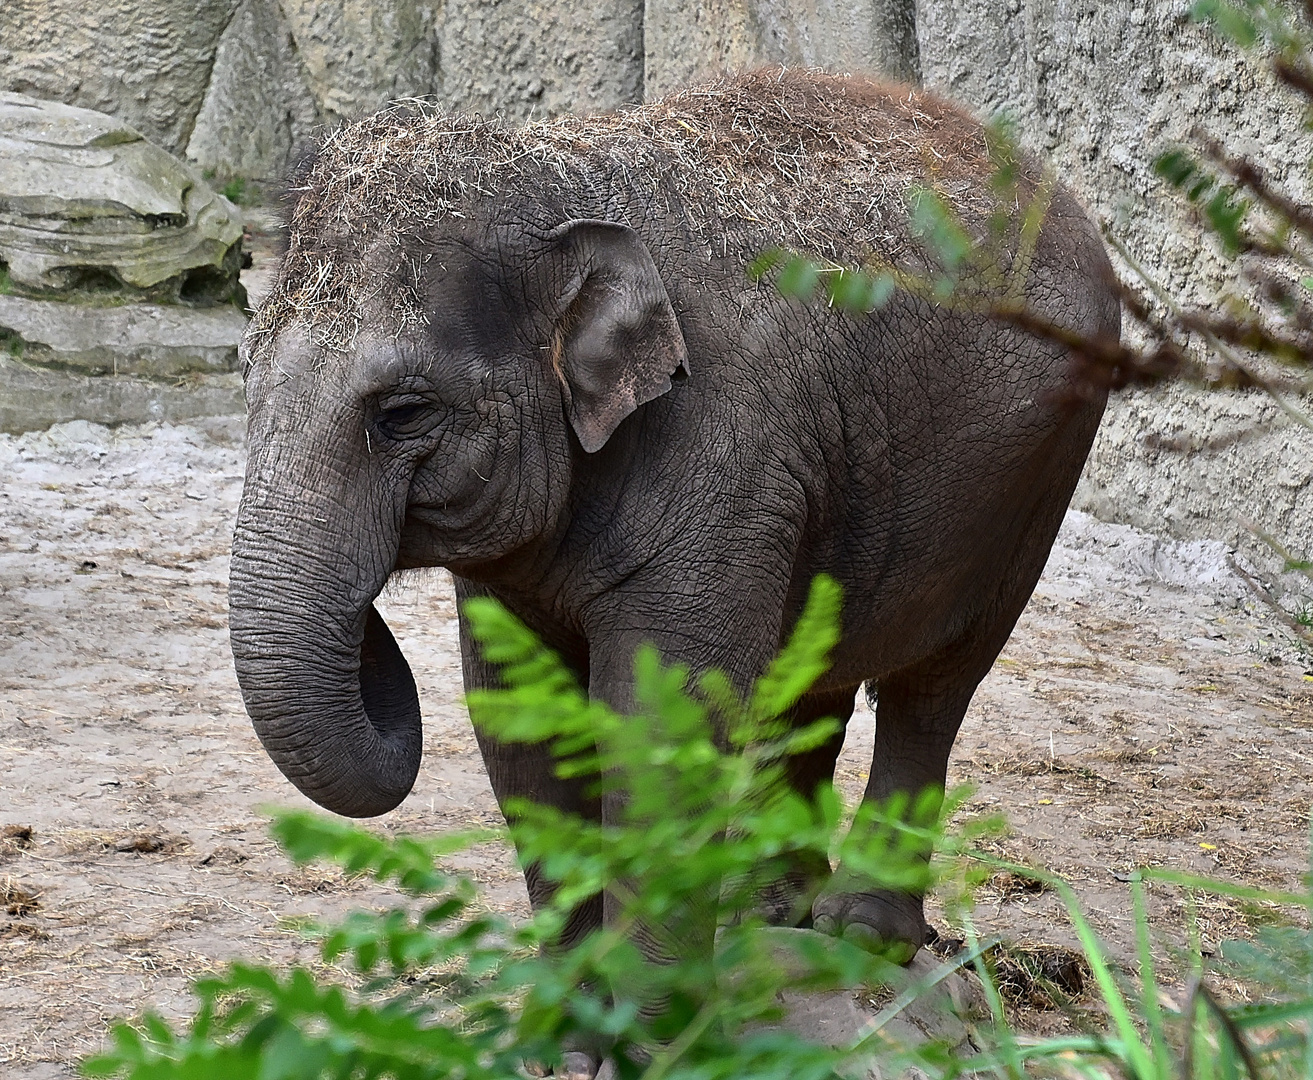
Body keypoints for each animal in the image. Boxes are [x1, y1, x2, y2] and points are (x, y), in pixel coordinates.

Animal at [225, 69, 1118, 1070]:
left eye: (403, 412)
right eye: (242, 375)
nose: (367, 617)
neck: (555, 175)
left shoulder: (725, 462)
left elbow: (662, 723)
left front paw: (660, 1051)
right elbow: (523, 722)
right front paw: (566, 1049)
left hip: (1031, 476)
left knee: (933, 687)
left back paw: (856, 931)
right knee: (812, 677)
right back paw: (774, 909)